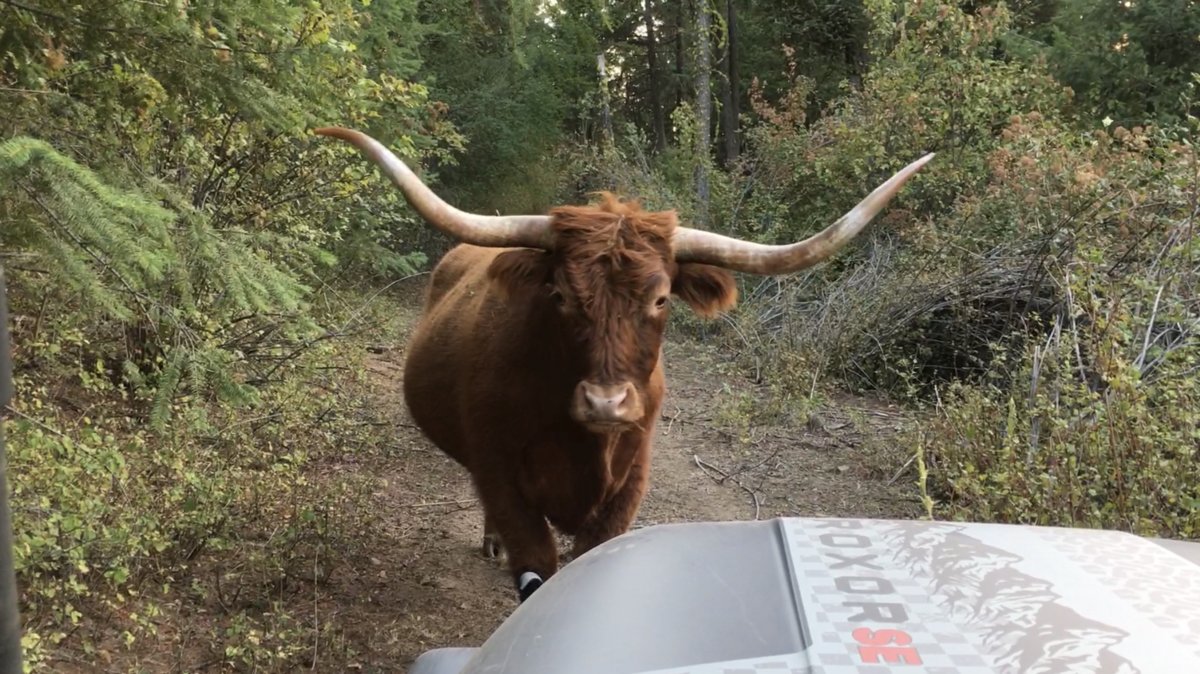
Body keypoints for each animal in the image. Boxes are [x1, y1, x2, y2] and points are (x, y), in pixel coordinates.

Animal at [316, 126, 933, 601]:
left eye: (660, 299)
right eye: (560, 294)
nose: (605, 402)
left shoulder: (628, 484)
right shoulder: (503, 476)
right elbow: (533, 562)